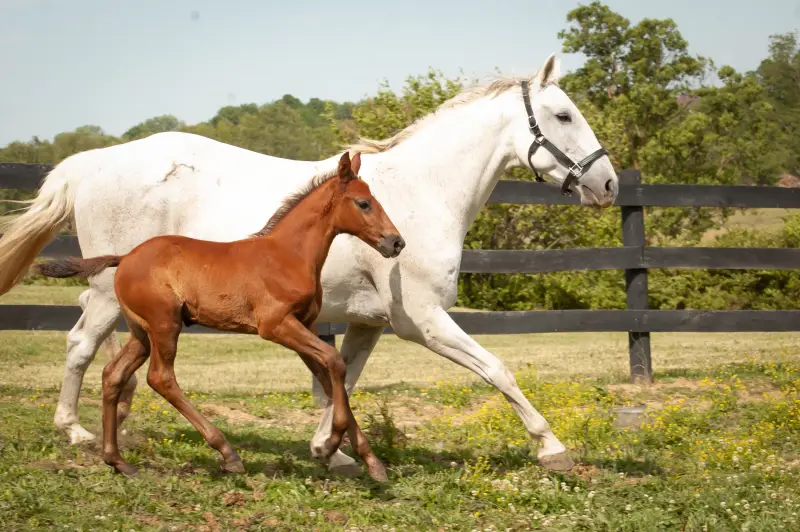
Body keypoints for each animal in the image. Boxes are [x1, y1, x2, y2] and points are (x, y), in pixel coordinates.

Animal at [32, 152, 403, 481]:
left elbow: (330, 376)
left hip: (142, 332)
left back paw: (117, 461)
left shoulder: (304, 326)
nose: (396, 242)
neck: (288, 255)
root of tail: (124, 258)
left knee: (114, 374)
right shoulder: (276, 325)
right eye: (364, 203)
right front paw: (332, 445)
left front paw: (369, 462)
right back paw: (227, 453)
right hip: (165, 324)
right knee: (160, 377)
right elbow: (334, 362)